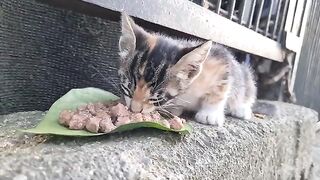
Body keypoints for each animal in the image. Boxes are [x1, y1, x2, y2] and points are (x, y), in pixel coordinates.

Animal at [117, 12, 255, 126]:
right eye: (128, 87)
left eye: (157, 97)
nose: (134, 110)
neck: (184, 93)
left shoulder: (221, 60)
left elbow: (220, 89)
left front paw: (210, 113)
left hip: (245, 77)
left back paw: (241, 109)